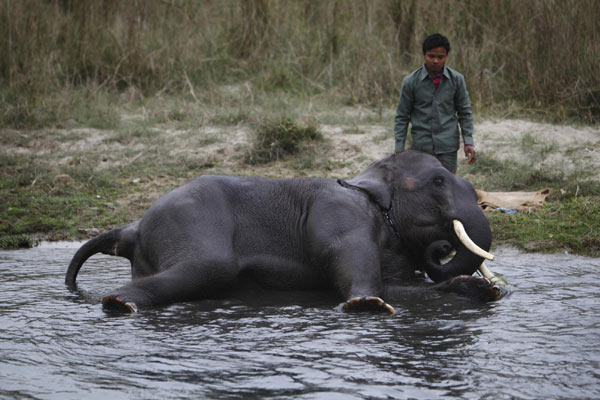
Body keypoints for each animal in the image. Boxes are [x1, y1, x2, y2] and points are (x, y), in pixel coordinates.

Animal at [65, 149, 504, 312]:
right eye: (438, 182)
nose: (442, 246)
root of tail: (134, 226)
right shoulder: (340, 213)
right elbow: (346, 258)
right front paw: (366, 305)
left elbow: (398, 287)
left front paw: (482, 291)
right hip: (189, 223)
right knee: (208, 267)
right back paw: (118, 303)